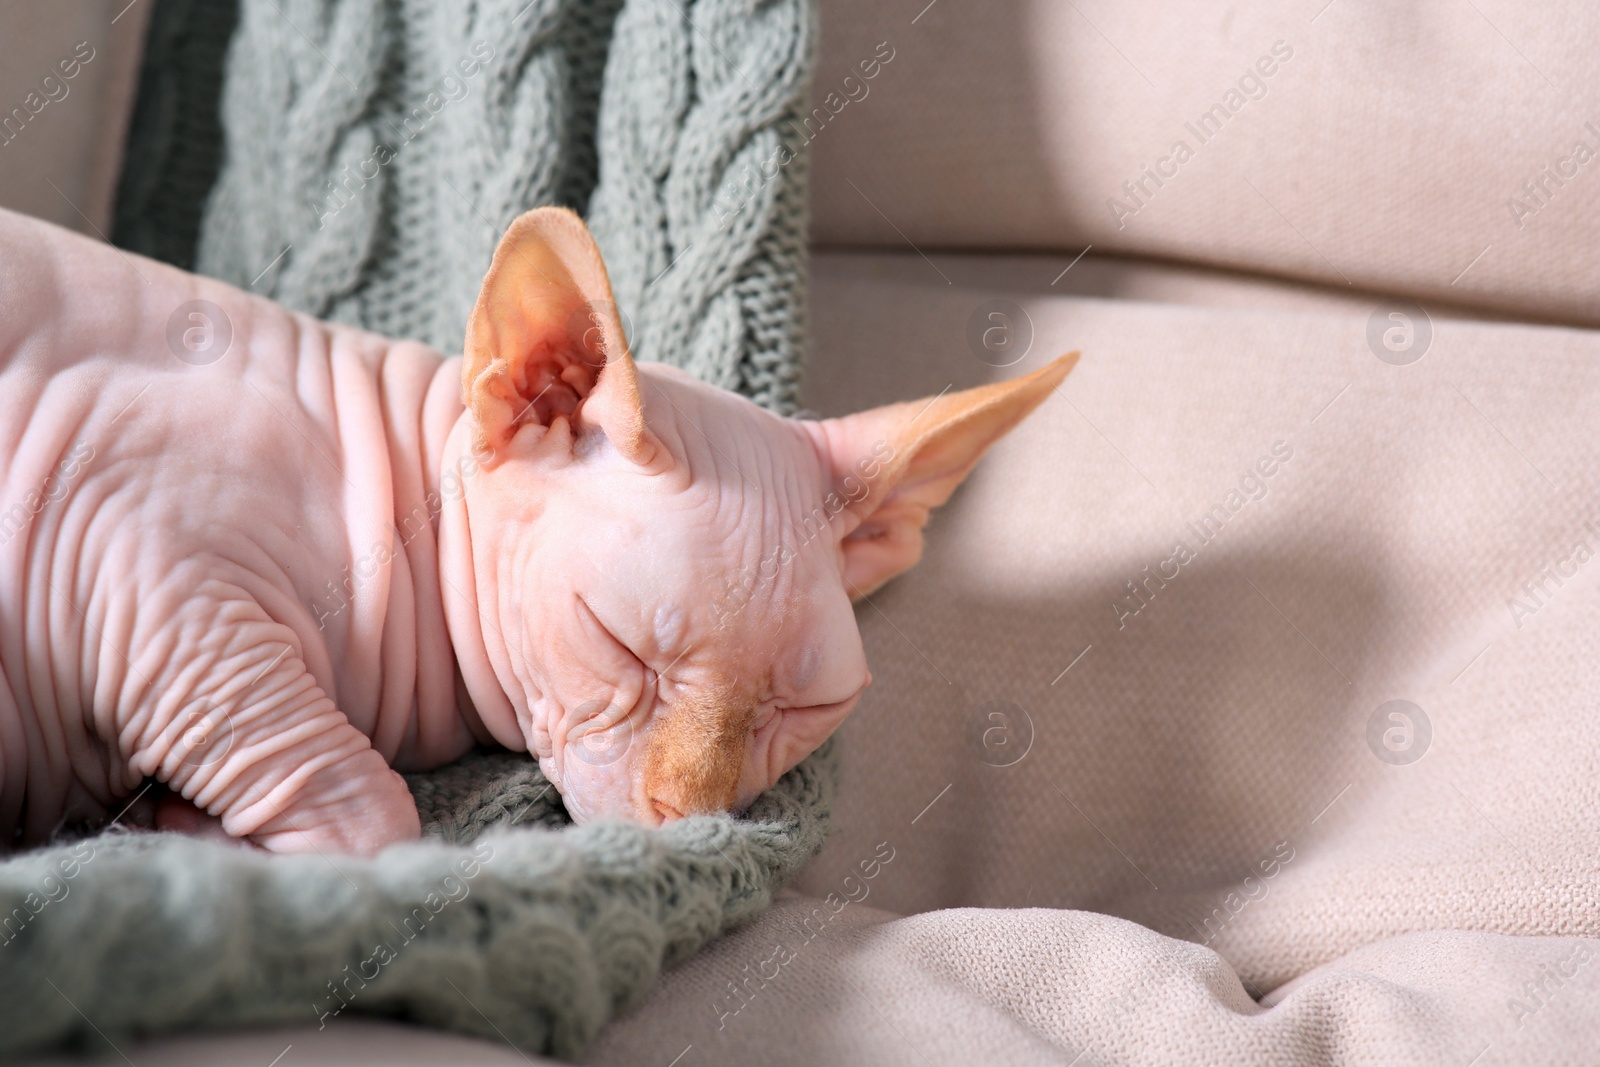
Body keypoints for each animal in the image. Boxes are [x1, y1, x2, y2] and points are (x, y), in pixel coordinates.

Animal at [3, 206, 1075, 857]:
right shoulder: (134, 543)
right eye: (620, 645)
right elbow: (375, 818)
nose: (687, 819)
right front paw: (182, 834)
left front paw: (171, 819)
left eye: (802, 709)